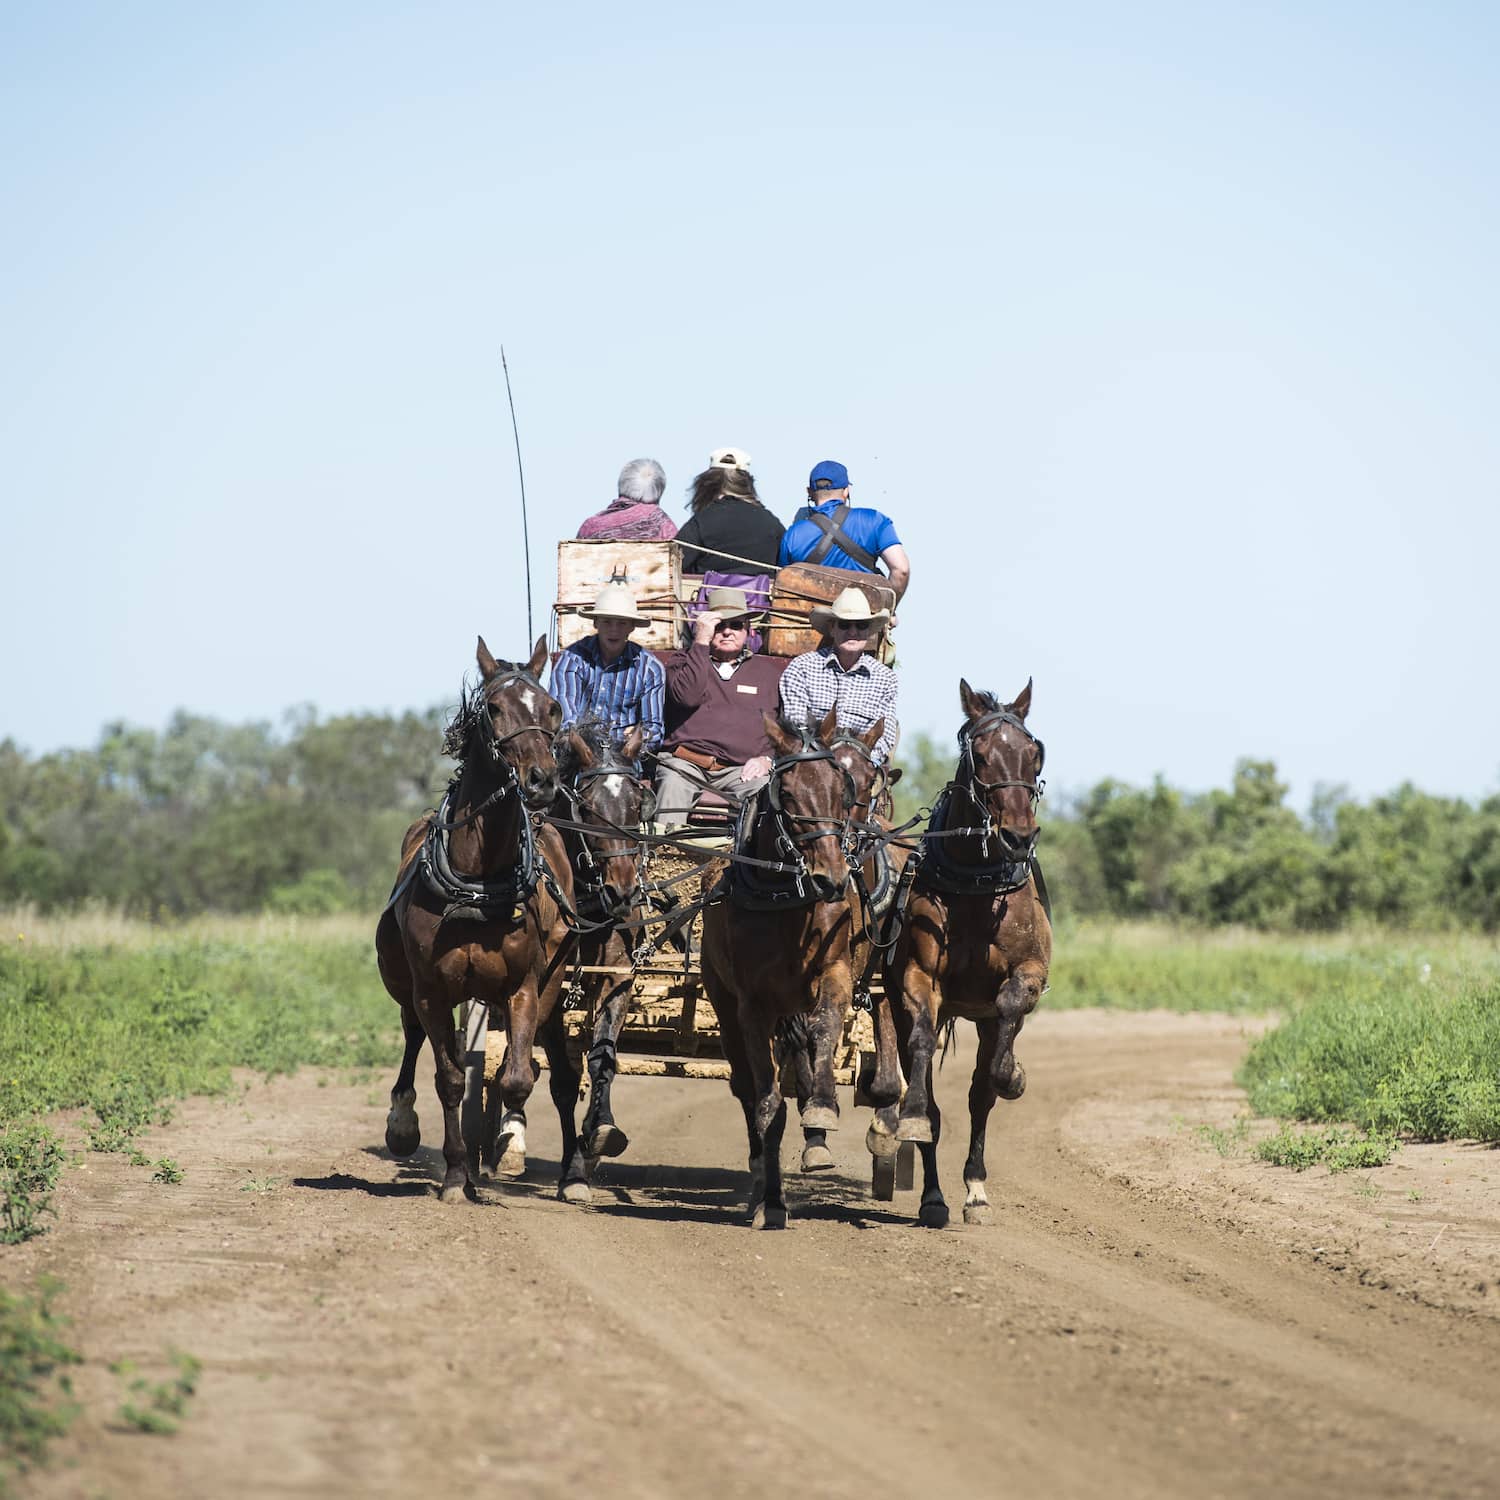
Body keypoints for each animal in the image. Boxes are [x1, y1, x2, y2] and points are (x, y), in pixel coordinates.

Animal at [378, 639, 582, 1200]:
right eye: (493, 709)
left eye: (552, 708)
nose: (542, 781)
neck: (477, 880)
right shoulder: (431, 990)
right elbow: (449, 1078)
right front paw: (454, 1173)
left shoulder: (524, 987)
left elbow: (517, 1076)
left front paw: (506, 1147)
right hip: (406, 983)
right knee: (413, 1036)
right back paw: (403, 1124)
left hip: (552, 983)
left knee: (554, 1071)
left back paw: (570, 1170)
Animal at [699, 708, 894, 1224]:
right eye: (786, 793)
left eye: (839, 787)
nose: (831, 877)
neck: (784, 896)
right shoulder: (752, 1005)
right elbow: (766, 1099)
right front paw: (769, 1199)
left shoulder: (836, 972)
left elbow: (825, 1029)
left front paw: (823, 1107)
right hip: (725, 1002)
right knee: (746, 1084)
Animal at [882, 681, 1050, 1230]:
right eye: (980, 754)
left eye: (1034, 752)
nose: (1019, 835)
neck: (977, 885)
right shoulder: (917, 980)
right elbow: (922, 1071)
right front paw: (913, 1121)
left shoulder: (1027, 975)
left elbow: (991, 1076)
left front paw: (1014, 1076)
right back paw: (933, 1195)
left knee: (980, 1094)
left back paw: (973, 1190)